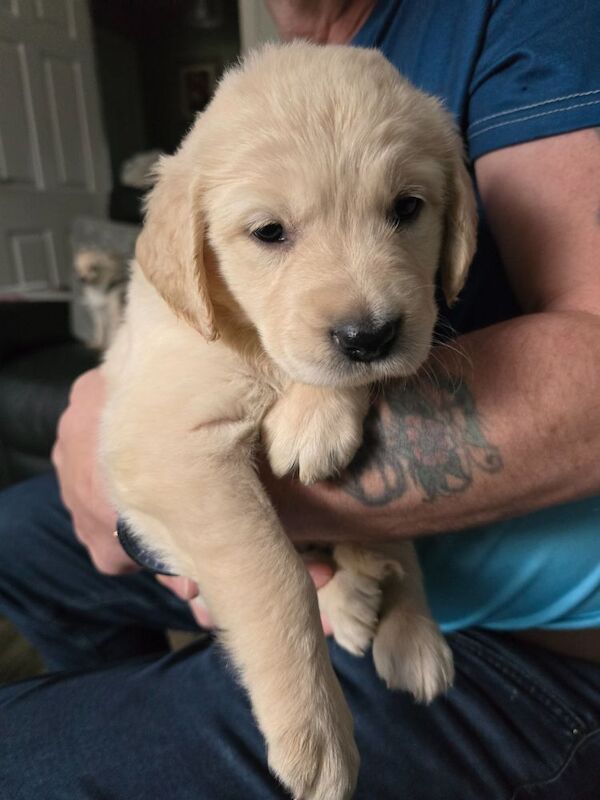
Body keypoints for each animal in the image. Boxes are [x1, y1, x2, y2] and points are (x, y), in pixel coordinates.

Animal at [103, 43, 478, 800]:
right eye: (269, 233)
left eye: (407, 208)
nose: (370, 334)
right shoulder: (164, 444)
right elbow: (274, 574)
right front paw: (316, 731)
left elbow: (330, 377)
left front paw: (313, 420)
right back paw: (357, 601)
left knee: (398, 545)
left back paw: (410, 630)